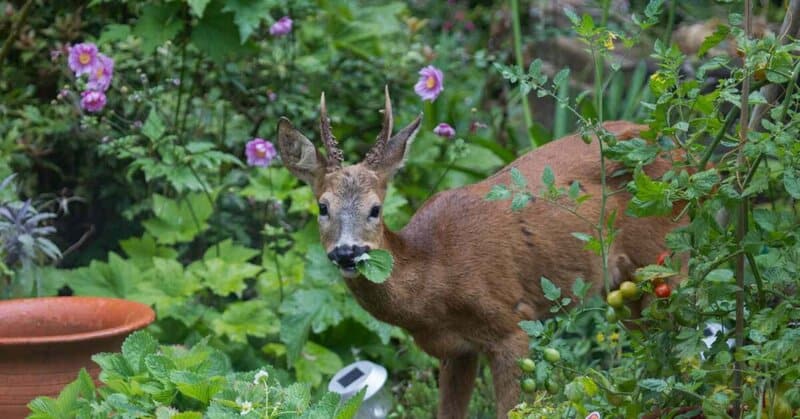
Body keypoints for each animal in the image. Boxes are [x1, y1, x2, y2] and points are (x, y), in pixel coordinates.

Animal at [275, 88, 683, 418]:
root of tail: (683, 149)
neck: (436, 277)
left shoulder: (512, 325)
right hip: (624, 288)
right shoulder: (455, 351)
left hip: (667, 255)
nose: (347, 252)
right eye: (323, 207)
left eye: (375, 209)